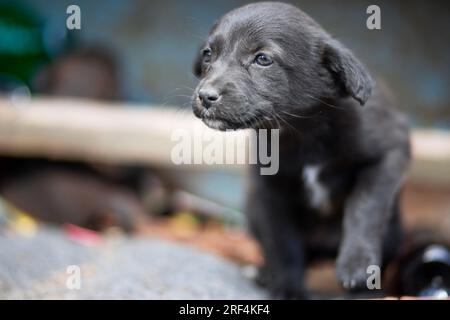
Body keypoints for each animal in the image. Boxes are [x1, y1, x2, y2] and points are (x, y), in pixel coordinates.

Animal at [192, 1, 410, 298]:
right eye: (207, 54)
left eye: (262, 59)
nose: (205, 96)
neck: (302, 132)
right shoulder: (271, 192)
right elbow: (284, 246)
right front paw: (288, 289)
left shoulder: (390, 152)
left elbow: (364, 207)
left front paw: (357, 266)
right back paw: (264, 274)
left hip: (393, 233)